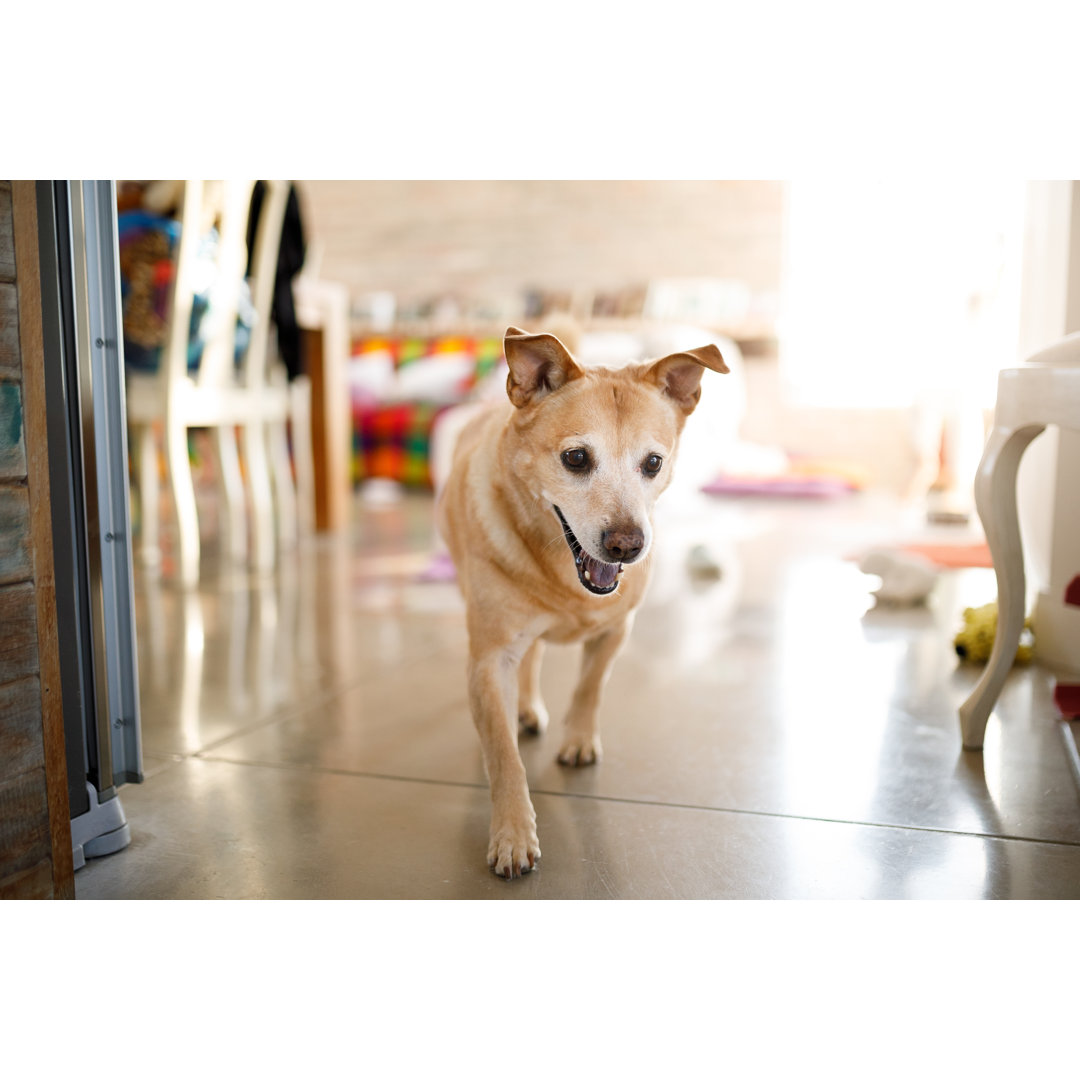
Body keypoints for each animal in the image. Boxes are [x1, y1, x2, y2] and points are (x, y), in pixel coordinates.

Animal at [434, 321, 730, 876]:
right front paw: (512, 834)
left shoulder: (616, 629)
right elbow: (503, 755)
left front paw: (578, 740)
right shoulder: (489, 660)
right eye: (576, 458)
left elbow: (590, 686)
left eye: (653, 463)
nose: (627, 545)